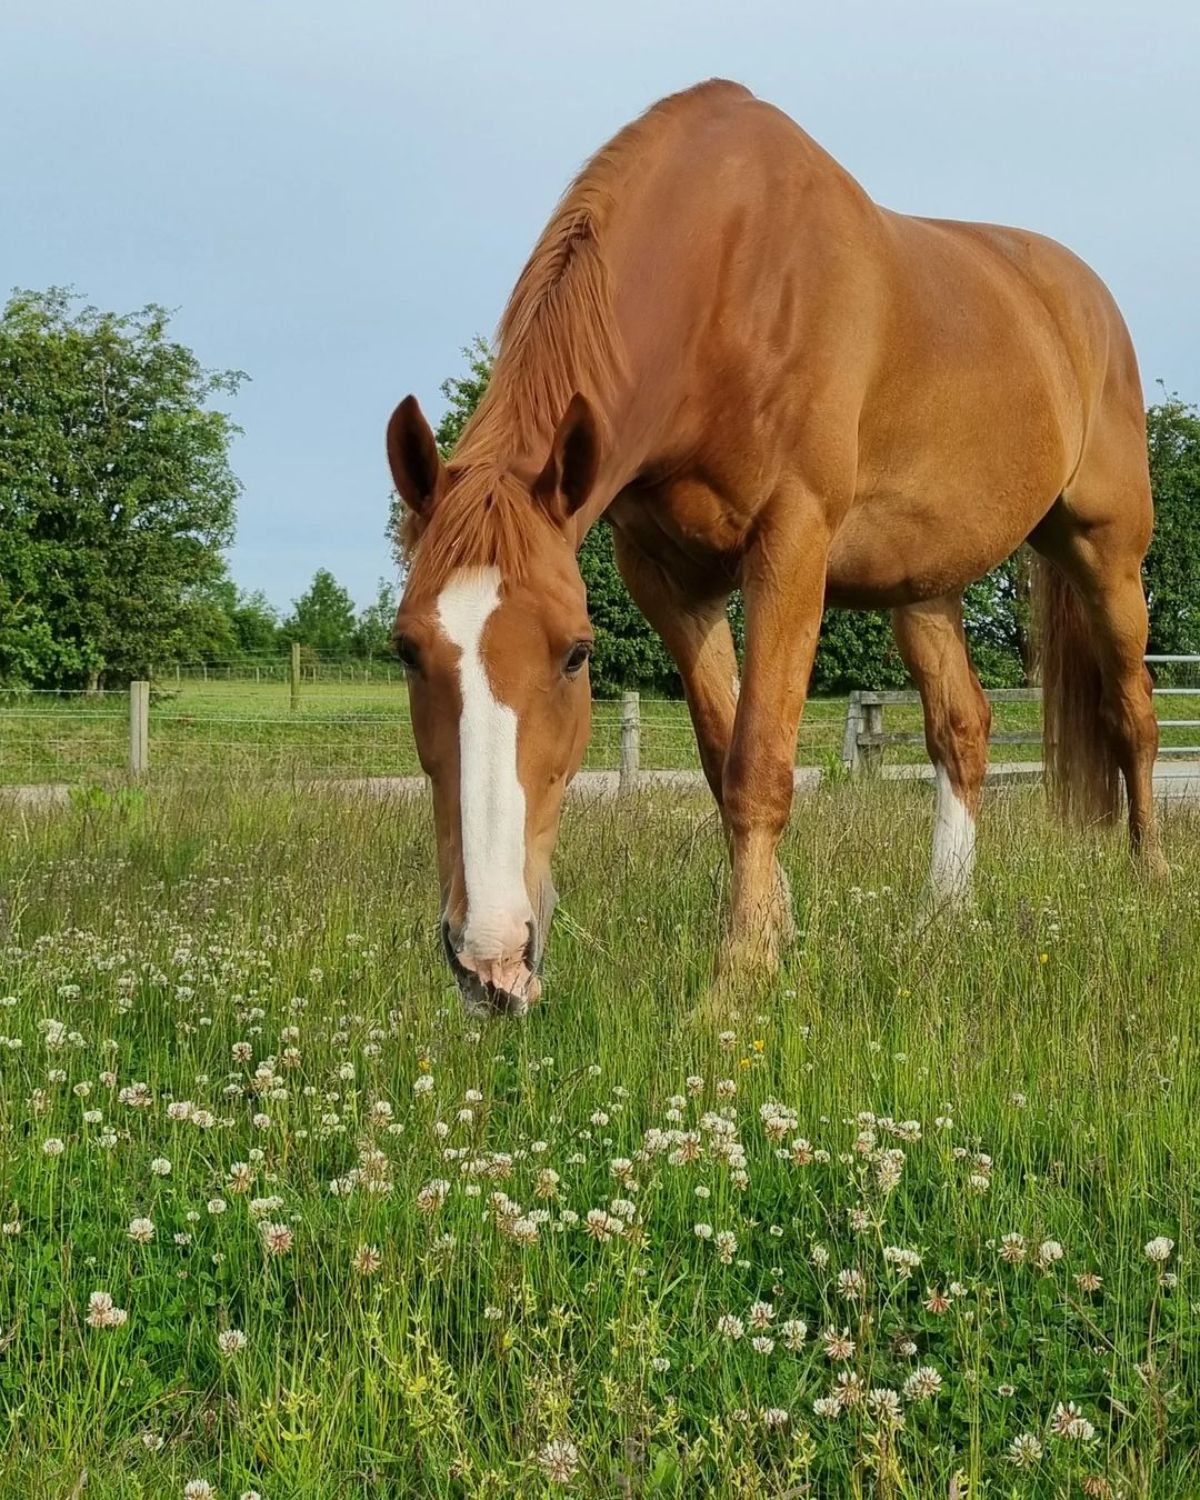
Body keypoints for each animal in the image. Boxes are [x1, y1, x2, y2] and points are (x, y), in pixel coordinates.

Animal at [387, 79, 1163, 1017]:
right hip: (923, 587)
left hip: (1107, 556)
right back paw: (941, 920)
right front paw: (777, 928)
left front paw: (738, 978)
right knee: (962, 729)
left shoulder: (791, 547)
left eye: (576, 654)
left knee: (1133, 715)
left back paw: (1151, 881)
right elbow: (722, 761)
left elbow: (759, 765)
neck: (726, 282)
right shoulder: (668, 578)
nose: (489, 959)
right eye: (407, 650)